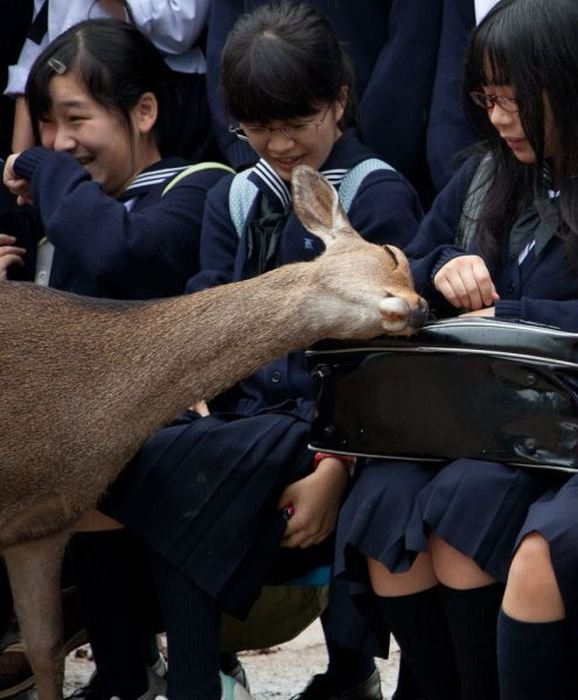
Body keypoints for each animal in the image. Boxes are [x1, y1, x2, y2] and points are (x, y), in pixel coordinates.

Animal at [0, 165, 424, 700]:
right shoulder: (35, 527)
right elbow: (45, 652)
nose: (421, 307)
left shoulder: (44, 527)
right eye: (392, 253)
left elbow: (47, 651)